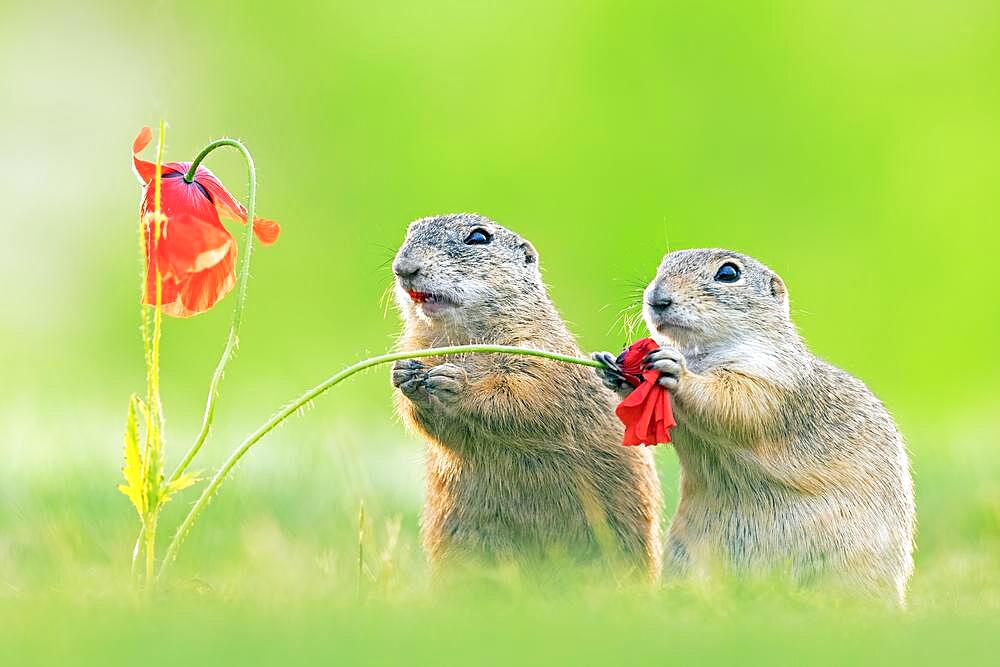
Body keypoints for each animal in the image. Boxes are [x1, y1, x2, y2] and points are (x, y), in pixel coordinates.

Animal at [390, 214, 664, 580]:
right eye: (410, 231)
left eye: (479, 237)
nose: (403, 267)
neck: (461, 338)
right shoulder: (417, 344)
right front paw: (405, 374)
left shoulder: (538, 353)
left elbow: (522, 397)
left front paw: (455, 382)